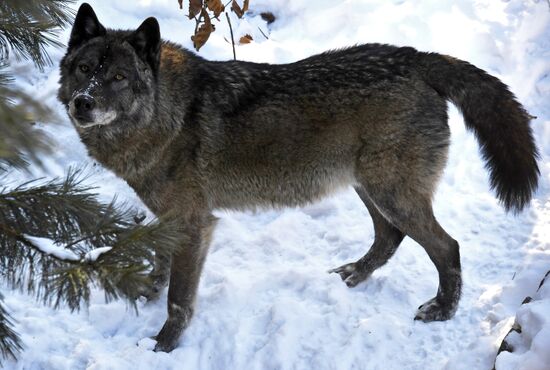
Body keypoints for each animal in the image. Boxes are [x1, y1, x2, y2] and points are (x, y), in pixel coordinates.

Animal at [58, 4, 540, 354]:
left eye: (119, 77)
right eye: (85, 69)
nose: (83, 102)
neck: (165, 116)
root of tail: (418, 58)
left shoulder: (195, 223)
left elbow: (180, 298)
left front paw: (162, 346)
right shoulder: (170, 219)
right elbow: (160, 264)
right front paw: (143, 295)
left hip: (389, 192)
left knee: (447, 246)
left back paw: (441, 310)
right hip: (368, 187)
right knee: (390, 236)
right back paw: (354, 274)